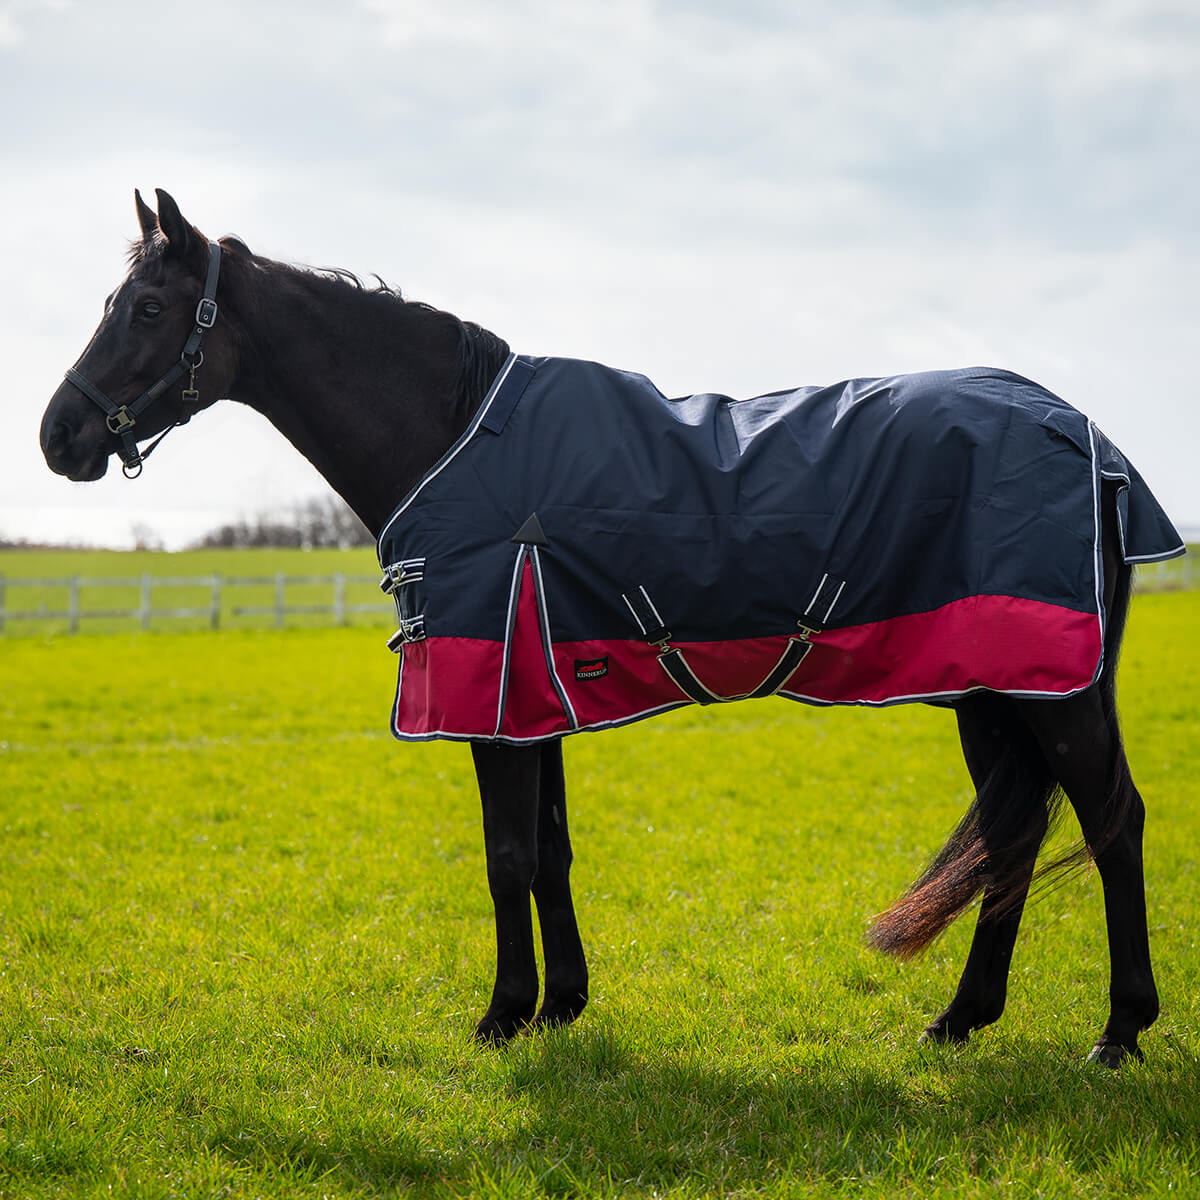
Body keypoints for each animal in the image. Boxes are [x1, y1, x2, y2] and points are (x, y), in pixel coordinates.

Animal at [42, 192, 1166, 1065]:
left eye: (149, 306)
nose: (59, 437)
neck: (454, 434)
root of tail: (1085, 435)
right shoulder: (528, 696)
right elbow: (551, 850)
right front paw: (561, 1006)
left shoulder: (489, 690)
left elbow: (505, 855)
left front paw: (501, 1017)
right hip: (995, 693)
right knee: (1017, 833)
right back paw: (960, 1019)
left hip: (1052, 693)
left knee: (1114, 822)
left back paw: (1118, 1031)